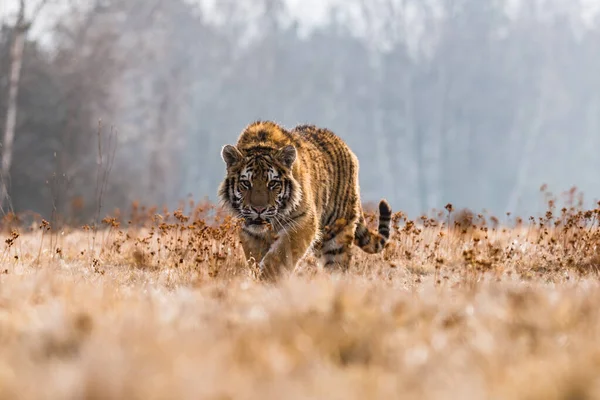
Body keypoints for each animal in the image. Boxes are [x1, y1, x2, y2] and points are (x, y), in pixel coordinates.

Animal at [218, 122, 392, 282]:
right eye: (246, 183)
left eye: (272, 183)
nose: (258, 209)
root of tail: (347, 149)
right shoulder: (249, 232)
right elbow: (255, 258)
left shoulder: (302, 221)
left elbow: (280, 255)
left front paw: (268, 278)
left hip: (337, 235)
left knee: (338, 267)